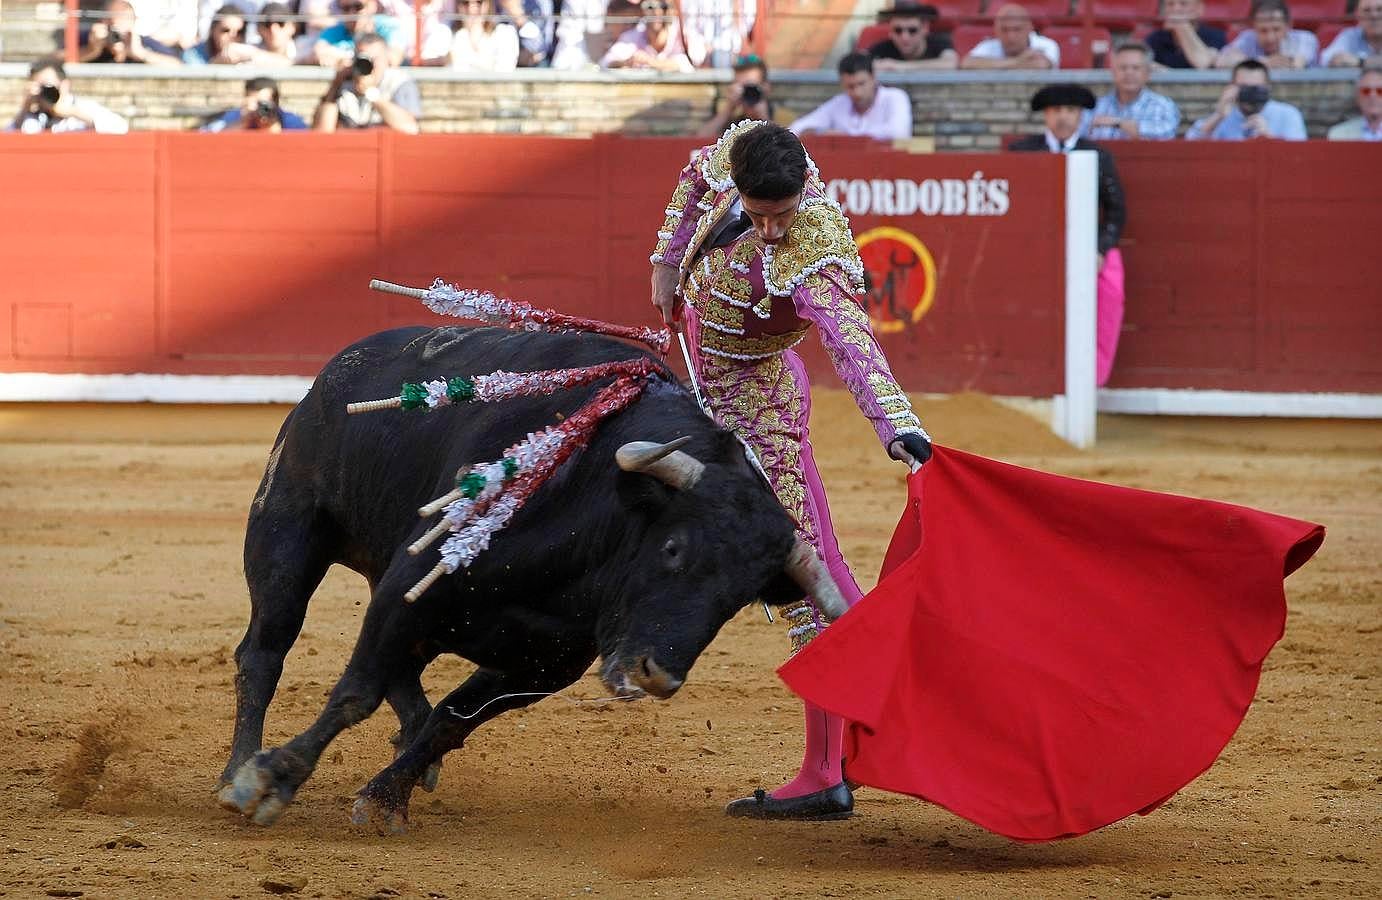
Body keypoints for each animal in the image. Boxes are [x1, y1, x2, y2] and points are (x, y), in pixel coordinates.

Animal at [218, 327, 840, 835]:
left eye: (737, 601)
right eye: (673, 548)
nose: (657, 675)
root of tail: (338, 370)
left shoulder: (545, 666)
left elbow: (452, 720)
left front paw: (387, 796)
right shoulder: (411, 587)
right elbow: (355, 694)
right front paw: (271, 781)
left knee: (406, 678)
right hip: (287, 531)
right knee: (264, 652)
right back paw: (234, 773)